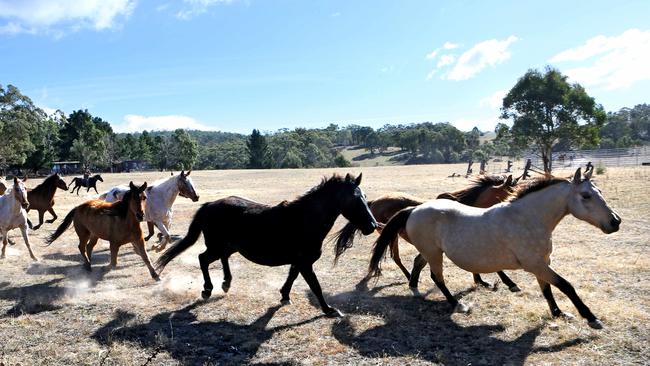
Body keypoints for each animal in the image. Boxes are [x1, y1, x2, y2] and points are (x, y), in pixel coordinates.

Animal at [156, 174, 374, 318]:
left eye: (364, 196)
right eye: (355, 199)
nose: (372, 226)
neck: (304, 219)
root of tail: (209, 205)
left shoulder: (299, 261)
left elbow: (292, 277)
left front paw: (284, 296)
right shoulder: (305, 262)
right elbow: (315, 286)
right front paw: (329, 310)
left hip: (229, 246)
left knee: (222, 259)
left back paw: (226, 283)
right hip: (216, 246)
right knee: (203, 259)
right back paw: (208, 289)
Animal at [332, 174, 520, 292]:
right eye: (510, 192)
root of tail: (374, 202)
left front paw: (480, 280)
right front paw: (509, 283)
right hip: (389, 234)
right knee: (394, 256)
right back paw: (406, 276)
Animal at [370, 169, 616, 328]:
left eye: (600, 191)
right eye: (586, 195)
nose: (616, 222)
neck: (527, 218)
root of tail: (413, 209)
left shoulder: (542, 264)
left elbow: (547, 289)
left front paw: (558, 313)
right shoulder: (535, 264)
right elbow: (566, 286)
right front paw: (591, 318)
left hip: (431, 251)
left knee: (418, 264)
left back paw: (414, 289)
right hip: (434, 254)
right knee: (436, 277)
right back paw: (459, 305)